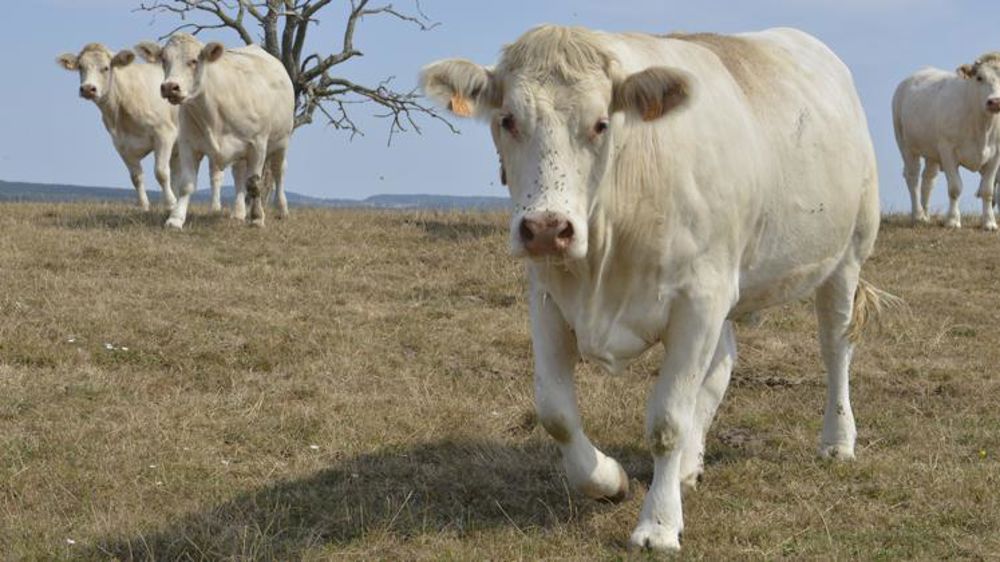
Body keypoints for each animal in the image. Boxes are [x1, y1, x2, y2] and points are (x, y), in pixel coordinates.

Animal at [56, 43, 225, 213]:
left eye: (105, 68)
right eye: (80, 67)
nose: (87, 88)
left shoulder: (164, 133)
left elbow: (161, 172)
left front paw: (170, 204)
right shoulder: (122, 144)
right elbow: (136, 177)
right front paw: (145, 206)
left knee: (215, 173)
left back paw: (215, 207)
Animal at [133, 34, 294, 229]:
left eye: (194, 60)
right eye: (164, 59)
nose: (169, 87)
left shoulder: (258, 144)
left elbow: (254, 184)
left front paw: (256, 218)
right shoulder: (188, 144)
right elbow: (186, 184)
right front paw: (176, 218)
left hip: (282, 142)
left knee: (279, 172)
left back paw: (282, 210)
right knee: (239, 174)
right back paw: (238, 213)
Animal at [421, 25, 887, 552]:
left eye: (601, 124)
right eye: (507, 119)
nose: (546, 229)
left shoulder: (697, 302)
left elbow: (667, 420)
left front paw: (659, 524)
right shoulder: (548, 298)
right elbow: (555, 411)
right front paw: (607, 480)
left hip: (845, 258)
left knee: (835, 349)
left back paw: (837, 441)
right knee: (721, 366)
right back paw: (688, 467)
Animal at [892, 53, 1000, 229]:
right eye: (979, 77)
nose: (995, 102)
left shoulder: (996, 155)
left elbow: (987, 190)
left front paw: (989, 223)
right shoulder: (947, 150)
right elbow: (955, 188)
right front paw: (953, 220)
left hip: (931, 152)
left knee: (928, 179)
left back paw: (926, 215)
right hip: (905, 144)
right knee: (912, 176)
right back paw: (918, 215)